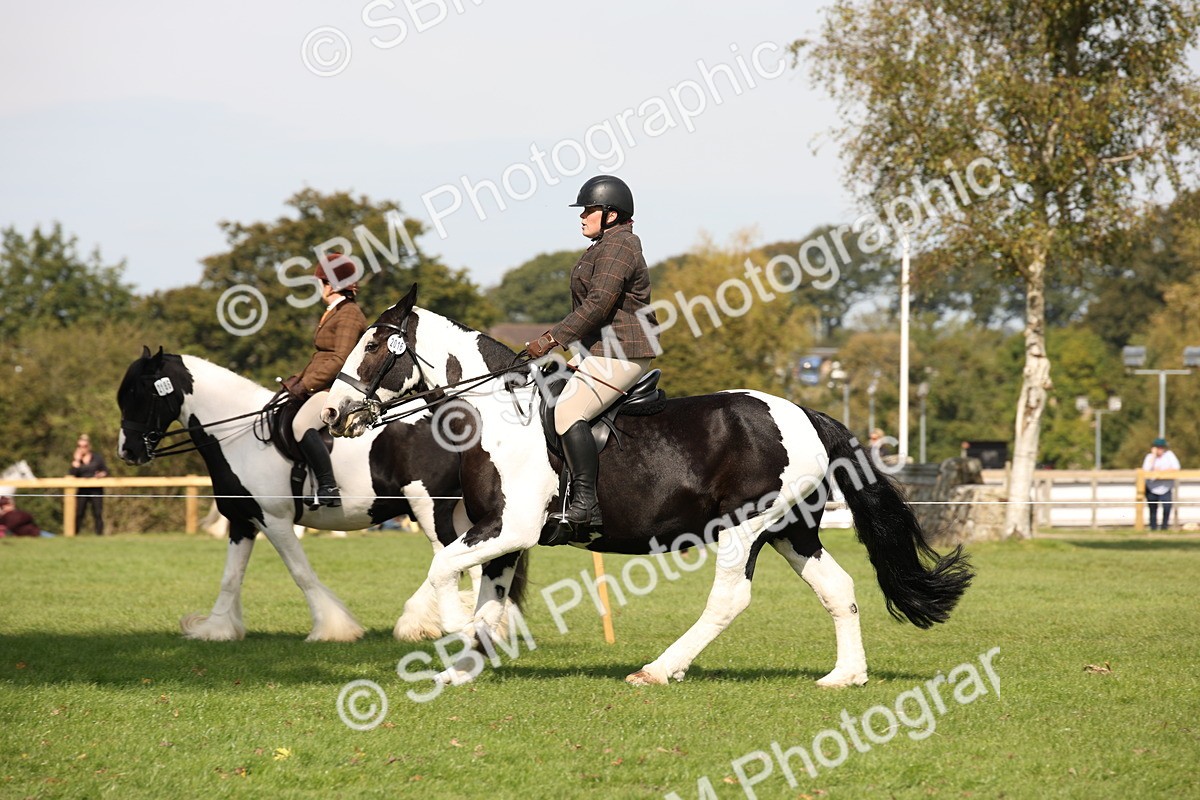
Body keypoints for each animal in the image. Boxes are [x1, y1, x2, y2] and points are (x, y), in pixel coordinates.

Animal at [116, 347, 527, 643]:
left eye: (137, 392)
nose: (127, 451)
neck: (236, 436)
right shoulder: (243, 521)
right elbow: (231, 577)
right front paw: (216, 629)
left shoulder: (274, 520)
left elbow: (301, 573)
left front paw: (333, 628)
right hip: (456, 510)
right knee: (475, 562)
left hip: (428, 507)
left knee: (450, 558)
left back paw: (419, 622)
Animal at [323, 286, 974, 687]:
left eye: (374, 345)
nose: (332, 415)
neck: (498, 413)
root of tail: (808, 415)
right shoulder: (499, 535)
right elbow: (486, 601)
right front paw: (462, 668)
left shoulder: (510, 527)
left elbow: (444, 575)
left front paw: (452, 637)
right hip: (792, 529)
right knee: (838, 588)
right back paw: (845, 676)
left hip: (746, 527)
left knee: (729, 600)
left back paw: (658, 670)